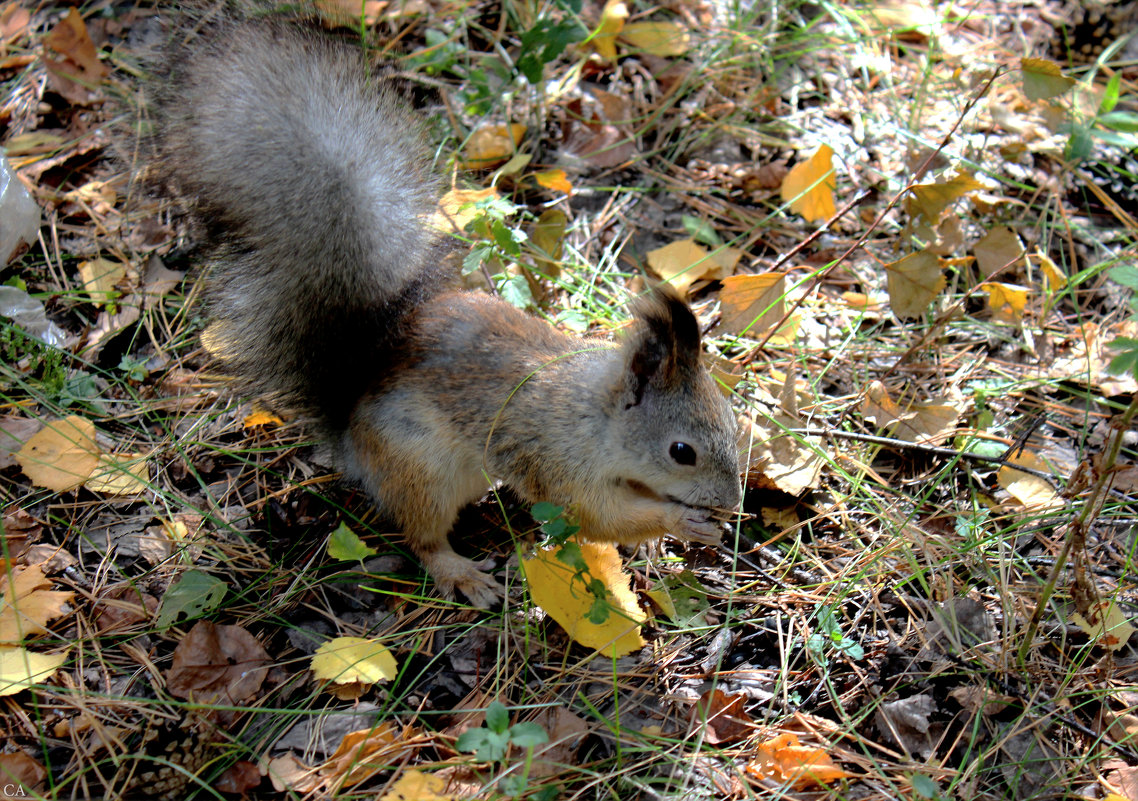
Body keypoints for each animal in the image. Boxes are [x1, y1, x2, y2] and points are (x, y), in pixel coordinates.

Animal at [146, 20, 741, 605]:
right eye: (681, 451)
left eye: (732, 418)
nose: (732, 503)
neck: (594, 415)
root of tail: (350, 438)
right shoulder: (557, 462)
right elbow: (597, 517)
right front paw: (682, 522)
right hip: (421, 472)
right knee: (423, 538)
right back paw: (462, 574)